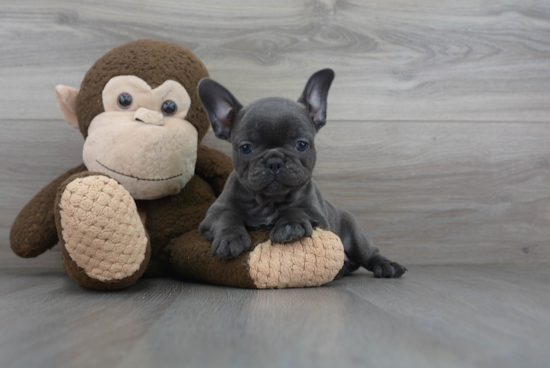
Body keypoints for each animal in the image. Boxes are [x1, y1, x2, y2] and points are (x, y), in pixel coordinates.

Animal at [196, 69, 408, 278]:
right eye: (246, 148)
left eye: (301, 144)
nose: (274, 161)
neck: (269, 202)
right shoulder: (212, 215)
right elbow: (227, 216)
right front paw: (230, 238)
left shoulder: (317, 213)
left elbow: (297, 209)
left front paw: (289, 226)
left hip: (355, 234)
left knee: (370, 253)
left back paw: (387, 266)